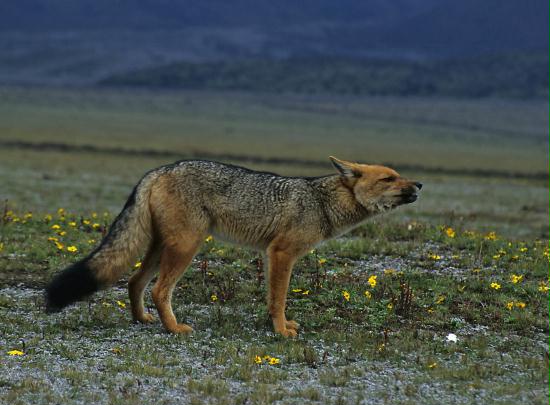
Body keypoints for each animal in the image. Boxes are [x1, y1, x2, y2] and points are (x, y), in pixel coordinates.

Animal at [47, 156, 424, 336]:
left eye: (399, 175)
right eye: (388, 178)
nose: (420, 184)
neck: (321, 202)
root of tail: (160, 169)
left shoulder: (272, 255)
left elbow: (272, 298)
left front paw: (277, 326)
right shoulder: (281, 253)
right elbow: (279, 299)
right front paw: (280, 332)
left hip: (161, 248)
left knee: (135, 282)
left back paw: (142, 320)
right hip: (187, 247)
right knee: (157, 289)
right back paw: (174, 329)